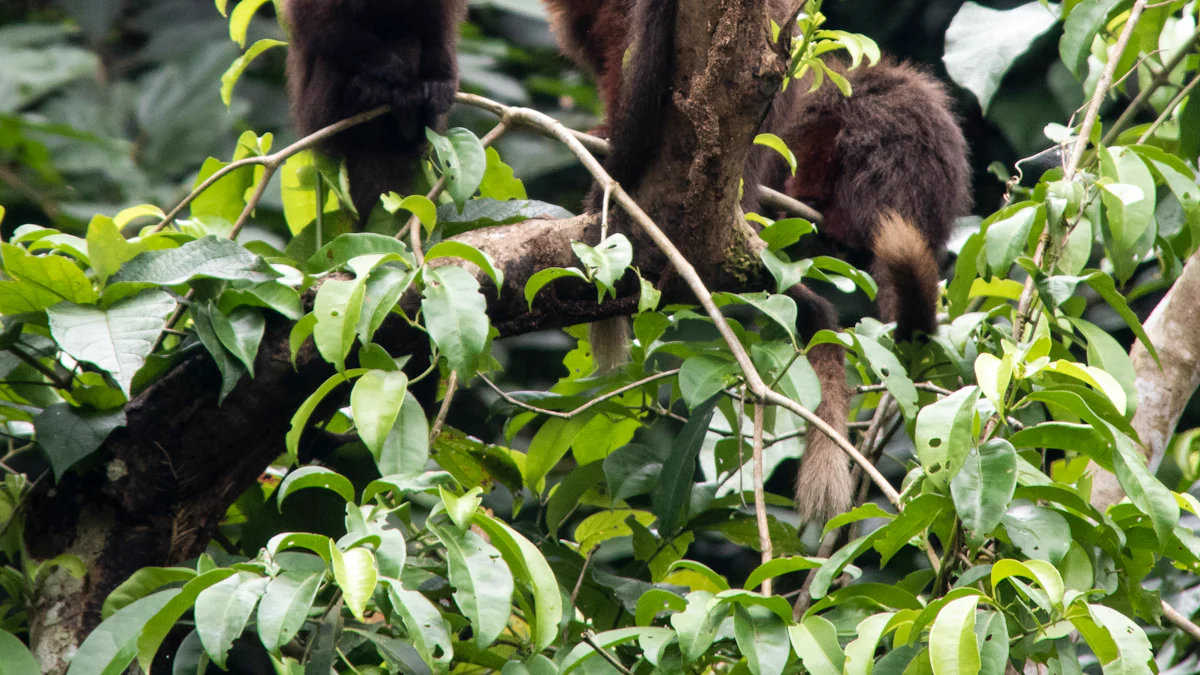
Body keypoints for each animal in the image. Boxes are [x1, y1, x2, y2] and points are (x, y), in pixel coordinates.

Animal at [283, 0, 469, 219]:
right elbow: (312, 13)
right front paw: (384, 63)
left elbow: (437, 32)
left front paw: (441, 82)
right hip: (316, 111)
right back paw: (358, 99)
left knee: (408, 36)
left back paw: (410, 117)